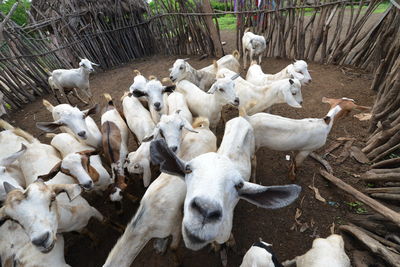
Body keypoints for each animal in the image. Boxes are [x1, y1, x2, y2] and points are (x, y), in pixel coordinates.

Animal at [150, 116, 300, 252]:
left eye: (239, 185)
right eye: (188, 169)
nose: (206, 211)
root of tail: (241, 118)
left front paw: (229, 244)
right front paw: (215, 246)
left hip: (252, 147)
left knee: (254, 160)